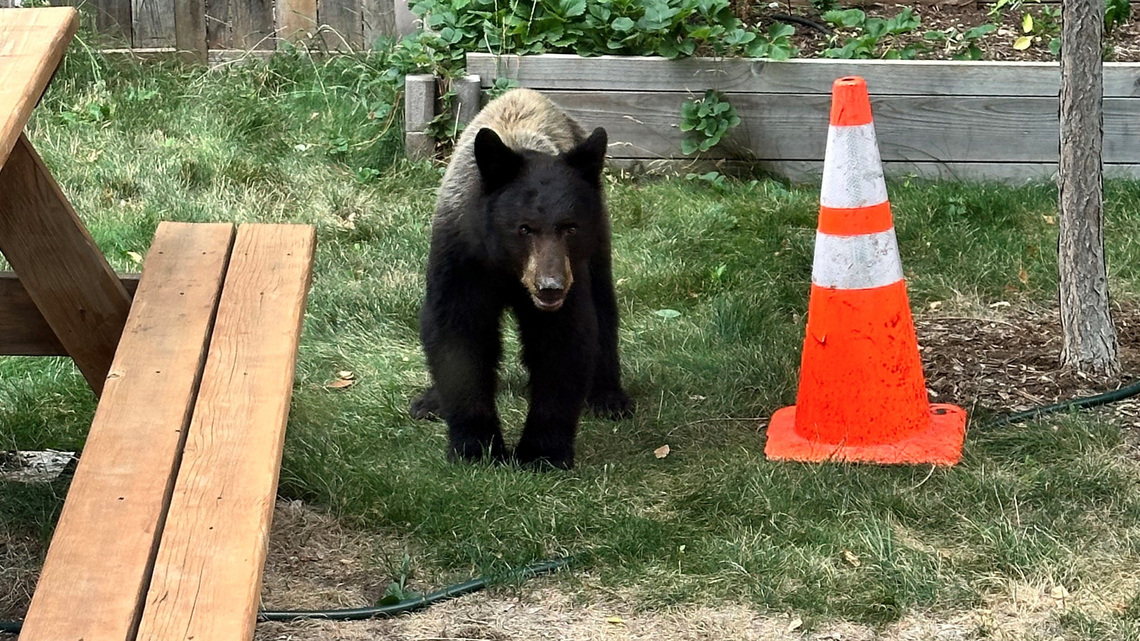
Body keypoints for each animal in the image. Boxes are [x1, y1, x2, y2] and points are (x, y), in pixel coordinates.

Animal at [409, 88, 633, 470]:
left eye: (570, 227)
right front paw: (476, 447)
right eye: (524, 228)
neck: (509, 269)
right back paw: (431, 402)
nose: (550, 287)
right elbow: (459, 336)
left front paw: (542, 452)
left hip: (598, 240)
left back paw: (609, 397)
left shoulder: (572, 272)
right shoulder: (462, 259)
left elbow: (563, 341)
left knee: (603, 304)